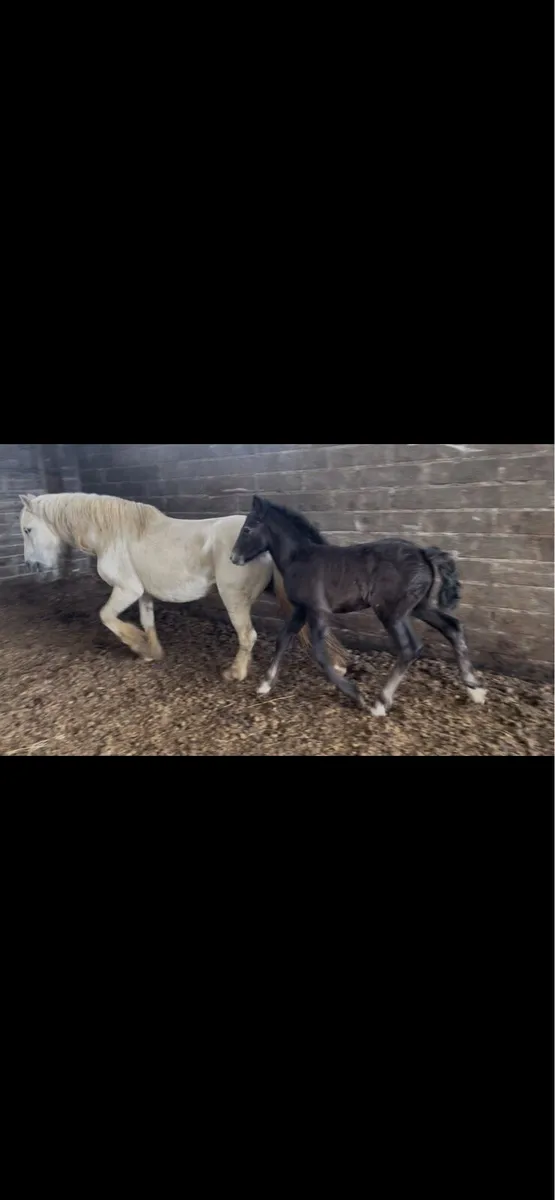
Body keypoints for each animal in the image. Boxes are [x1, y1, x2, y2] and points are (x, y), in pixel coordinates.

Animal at [19, 492, 346, 680]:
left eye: (27, 529)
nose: (32, 567)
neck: (113, 535)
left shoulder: (126, 590)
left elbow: (107, 616)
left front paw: (135, 644)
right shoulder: (144, 594)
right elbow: (148, 622)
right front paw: (151, 652)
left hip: (234, 600)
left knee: (247, 635)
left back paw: (235, 673)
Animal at [230, 495, 487, 715]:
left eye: (247, 529)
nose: (233, 558)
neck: (301, 558)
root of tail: (424, 553)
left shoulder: (318, 611)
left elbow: (320, 654)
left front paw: (355, 694)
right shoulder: (301, 609)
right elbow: (283, 639)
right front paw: (265, 684)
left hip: (391, 613)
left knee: (410, 647)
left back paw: (381, 703)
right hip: (419, 606)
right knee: (452, 628)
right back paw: (475, 689)